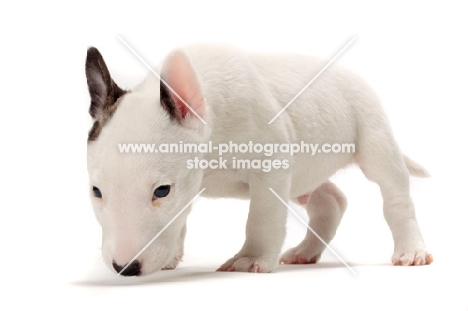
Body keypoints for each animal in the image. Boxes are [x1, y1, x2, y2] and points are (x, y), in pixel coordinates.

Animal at [86, 42, 434, 276]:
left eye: (161, 191)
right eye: (96, 192)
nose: (125, 268)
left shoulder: (271, 163)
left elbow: (262, 216)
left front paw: (250, 259)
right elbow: (180, 217)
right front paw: (170, 256)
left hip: (373, 135)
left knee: (395, 196)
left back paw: (411, 250)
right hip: (305, 172)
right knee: (331, 201)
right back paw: (305, 252)